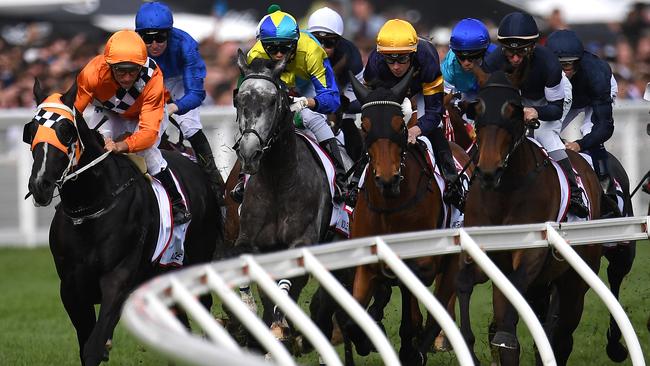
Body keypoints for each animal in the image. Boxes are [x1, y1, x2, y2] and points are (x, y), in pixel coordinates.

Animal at [23, 81, 223, 364]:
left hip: (197, 263)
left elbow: (94, 346)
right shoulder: (71, 288)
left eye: (66, 131)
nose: (41, 184)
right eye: (31, 130)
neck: (91, 208)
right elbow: (86, 345)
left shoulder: (118, 280)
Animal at [344, 70, 470, 364]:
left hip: (452, 262)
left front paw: (409, 347)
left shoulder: (422, 263)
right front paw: (366, 339)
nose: (387, 179)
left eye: (399, 125)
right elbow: (354, 321)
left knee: (439, 308)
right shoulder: (367, 265)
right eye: (365, 125)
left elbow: (412, 308)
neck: (390, 206)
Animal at [456, 71, 604, 366]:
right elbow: (465, 282)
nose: (488, 171)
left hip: (575, 281)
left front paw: (502, 336)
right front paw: (467, 342)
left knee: (562, 334)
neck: (505, 191)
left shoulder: (532, 253)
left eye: (512, 111)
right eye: (478, 110)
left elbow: (515, 291)